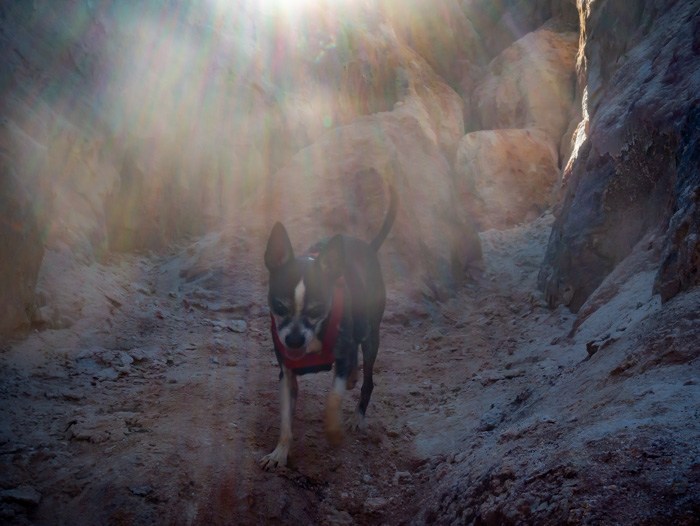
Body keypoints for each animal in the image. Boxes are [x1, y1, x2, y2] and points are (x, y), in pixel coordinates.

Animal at [260, 185, 396, 470]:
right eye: (279, 306)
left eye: (316, 310)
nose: (294, 340)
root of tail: (368, 247)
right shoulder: (286, 374)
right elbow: (285, 421)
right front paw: (279, 453)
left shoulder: (340, 358)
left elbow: (333, 399)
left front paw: (333, 431)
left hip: (371, 336)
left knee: (368, 379)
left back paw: (357, 415)